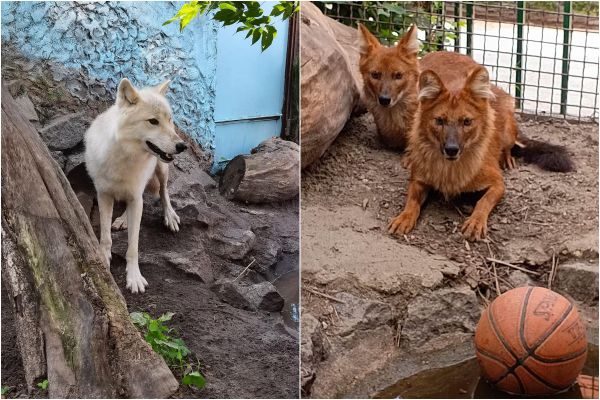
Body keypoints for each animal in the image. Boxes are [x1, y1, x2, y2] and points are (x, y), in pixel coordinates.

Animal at [85, 78, 186, 294]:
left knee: (163, 192)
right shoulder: (104, 195)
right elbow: (105, 237)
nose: (183, 146)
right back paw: (123, 219)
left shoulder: (136, 196)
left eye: (169, 119)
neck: (126, 157)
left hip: (161, 169)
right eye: (153, 121)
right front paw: (104, 258)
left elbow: (133, 247)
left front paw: (134, 278)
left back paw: (169, 216)